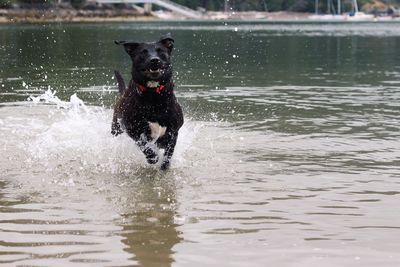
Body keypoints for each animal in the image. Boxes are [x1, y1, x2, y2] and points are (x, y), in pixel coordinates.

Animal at [111, 34, 183, 171]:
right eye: (143, 53)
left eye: (160, 51)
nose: (154, 60)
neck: (153, 94)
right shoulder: (132, 128)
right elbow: (143, 144)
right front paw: (152, 157)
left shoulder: (173, 130)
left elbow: (169, 150)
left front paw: (165, 164)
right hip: (116, 128)